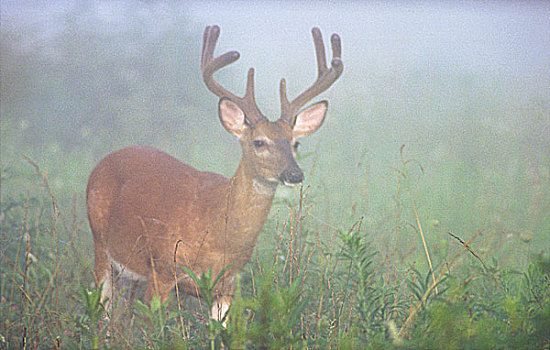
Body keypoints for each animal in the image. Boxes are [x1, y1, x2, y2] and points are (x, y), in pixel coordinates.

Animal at [85, 25, 342, 322]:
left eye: (295, 143)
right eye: (259, 142)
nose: (294, 174)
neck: (218, 230)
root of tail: (105, 160)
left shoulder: (227, 285)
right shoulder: (162, 269)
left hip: (131, 271)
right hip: (100, 242)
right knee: (102, 309)